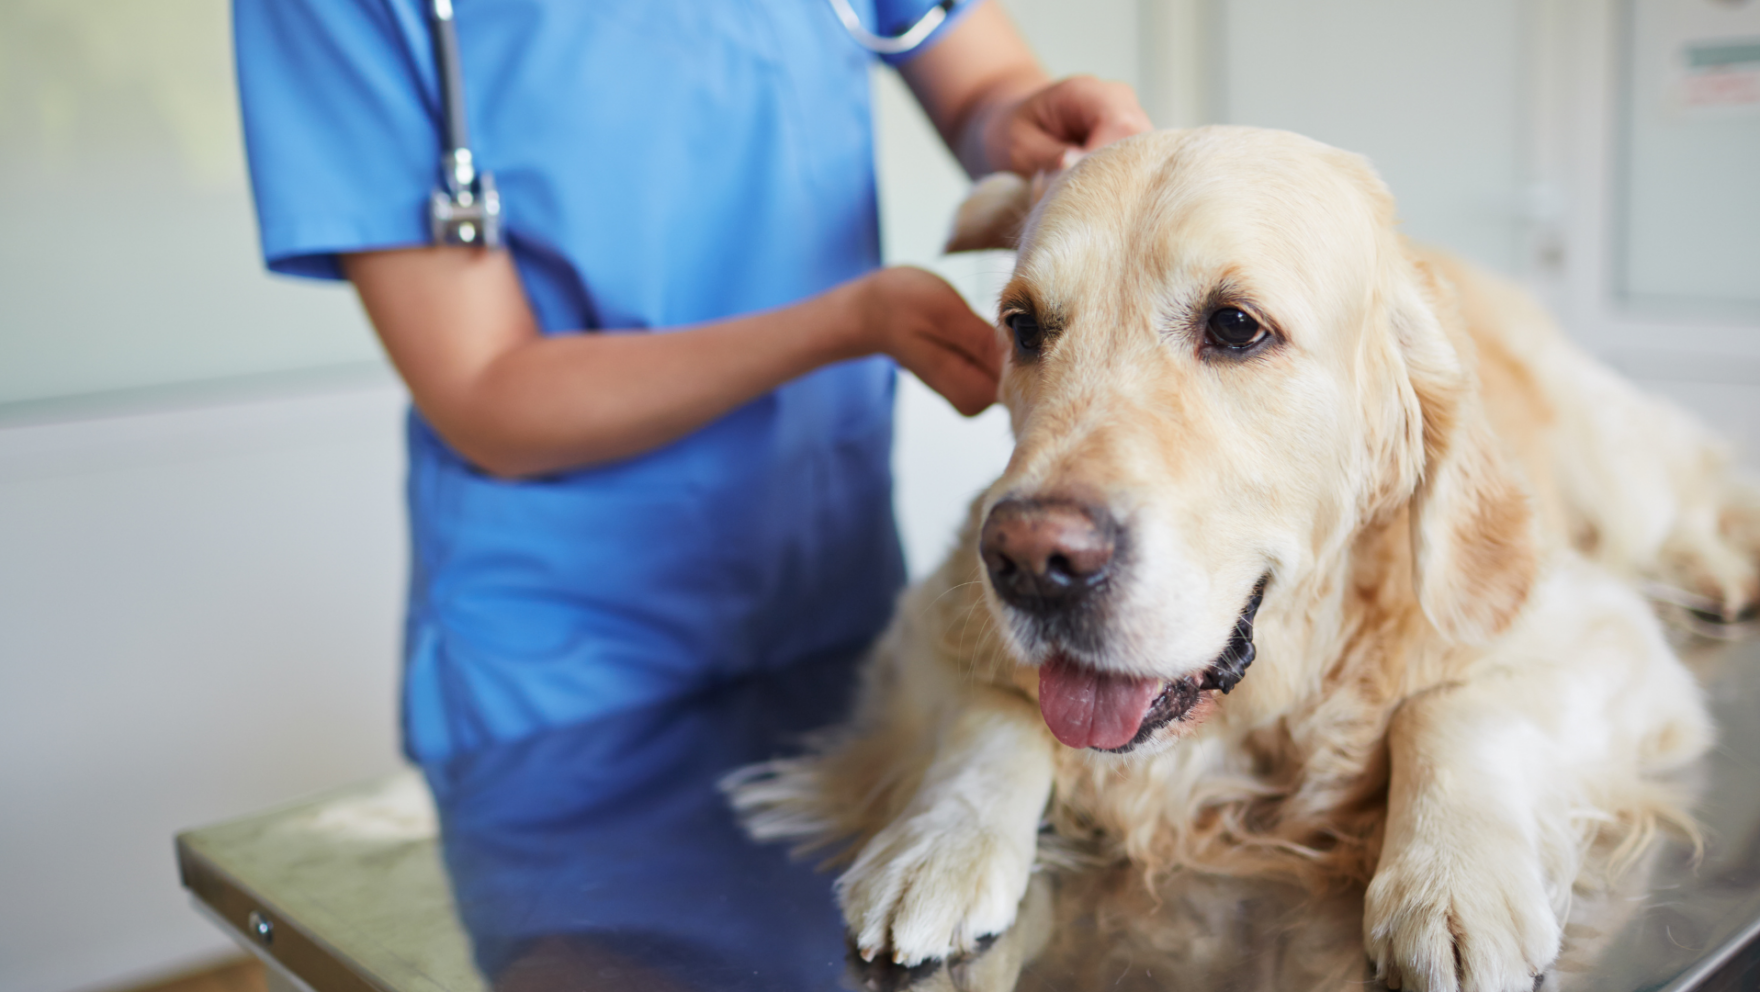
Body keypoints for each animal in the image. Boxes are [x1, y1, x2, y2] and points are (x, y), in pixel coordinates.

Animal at [725, 130, 1745, 992]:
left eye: (1237, 326)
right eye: (1021, 325)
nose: (1030, 562)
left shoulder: (1599, 633)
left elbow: (1455, 710)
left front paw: (1450, 884)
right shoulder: (924, 624)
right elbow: (994, 720)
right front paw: (937, 847)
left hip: (1615, 465)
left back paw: (1726, 567)